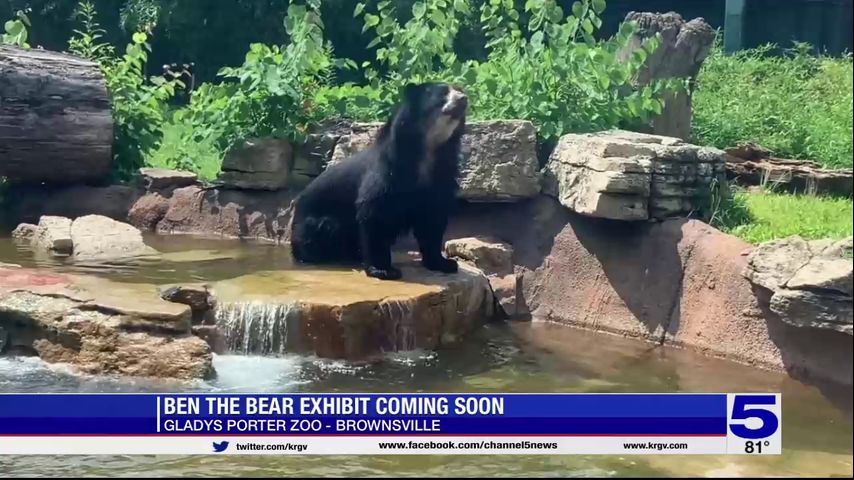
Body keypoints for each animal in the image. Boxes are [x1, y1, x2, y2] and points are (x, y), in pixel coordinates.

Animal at [290, 82, 468, 280]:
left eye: (459, 90)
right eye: (443, 93)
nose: (463, 99)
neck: (428, 151)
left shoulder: (440, 177)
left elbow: (433, 220)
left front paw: (444, 263)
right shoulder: (387, 174)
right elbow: (376, 215)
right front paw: (384, 270)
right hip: (316, 224)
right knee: (324, 231)